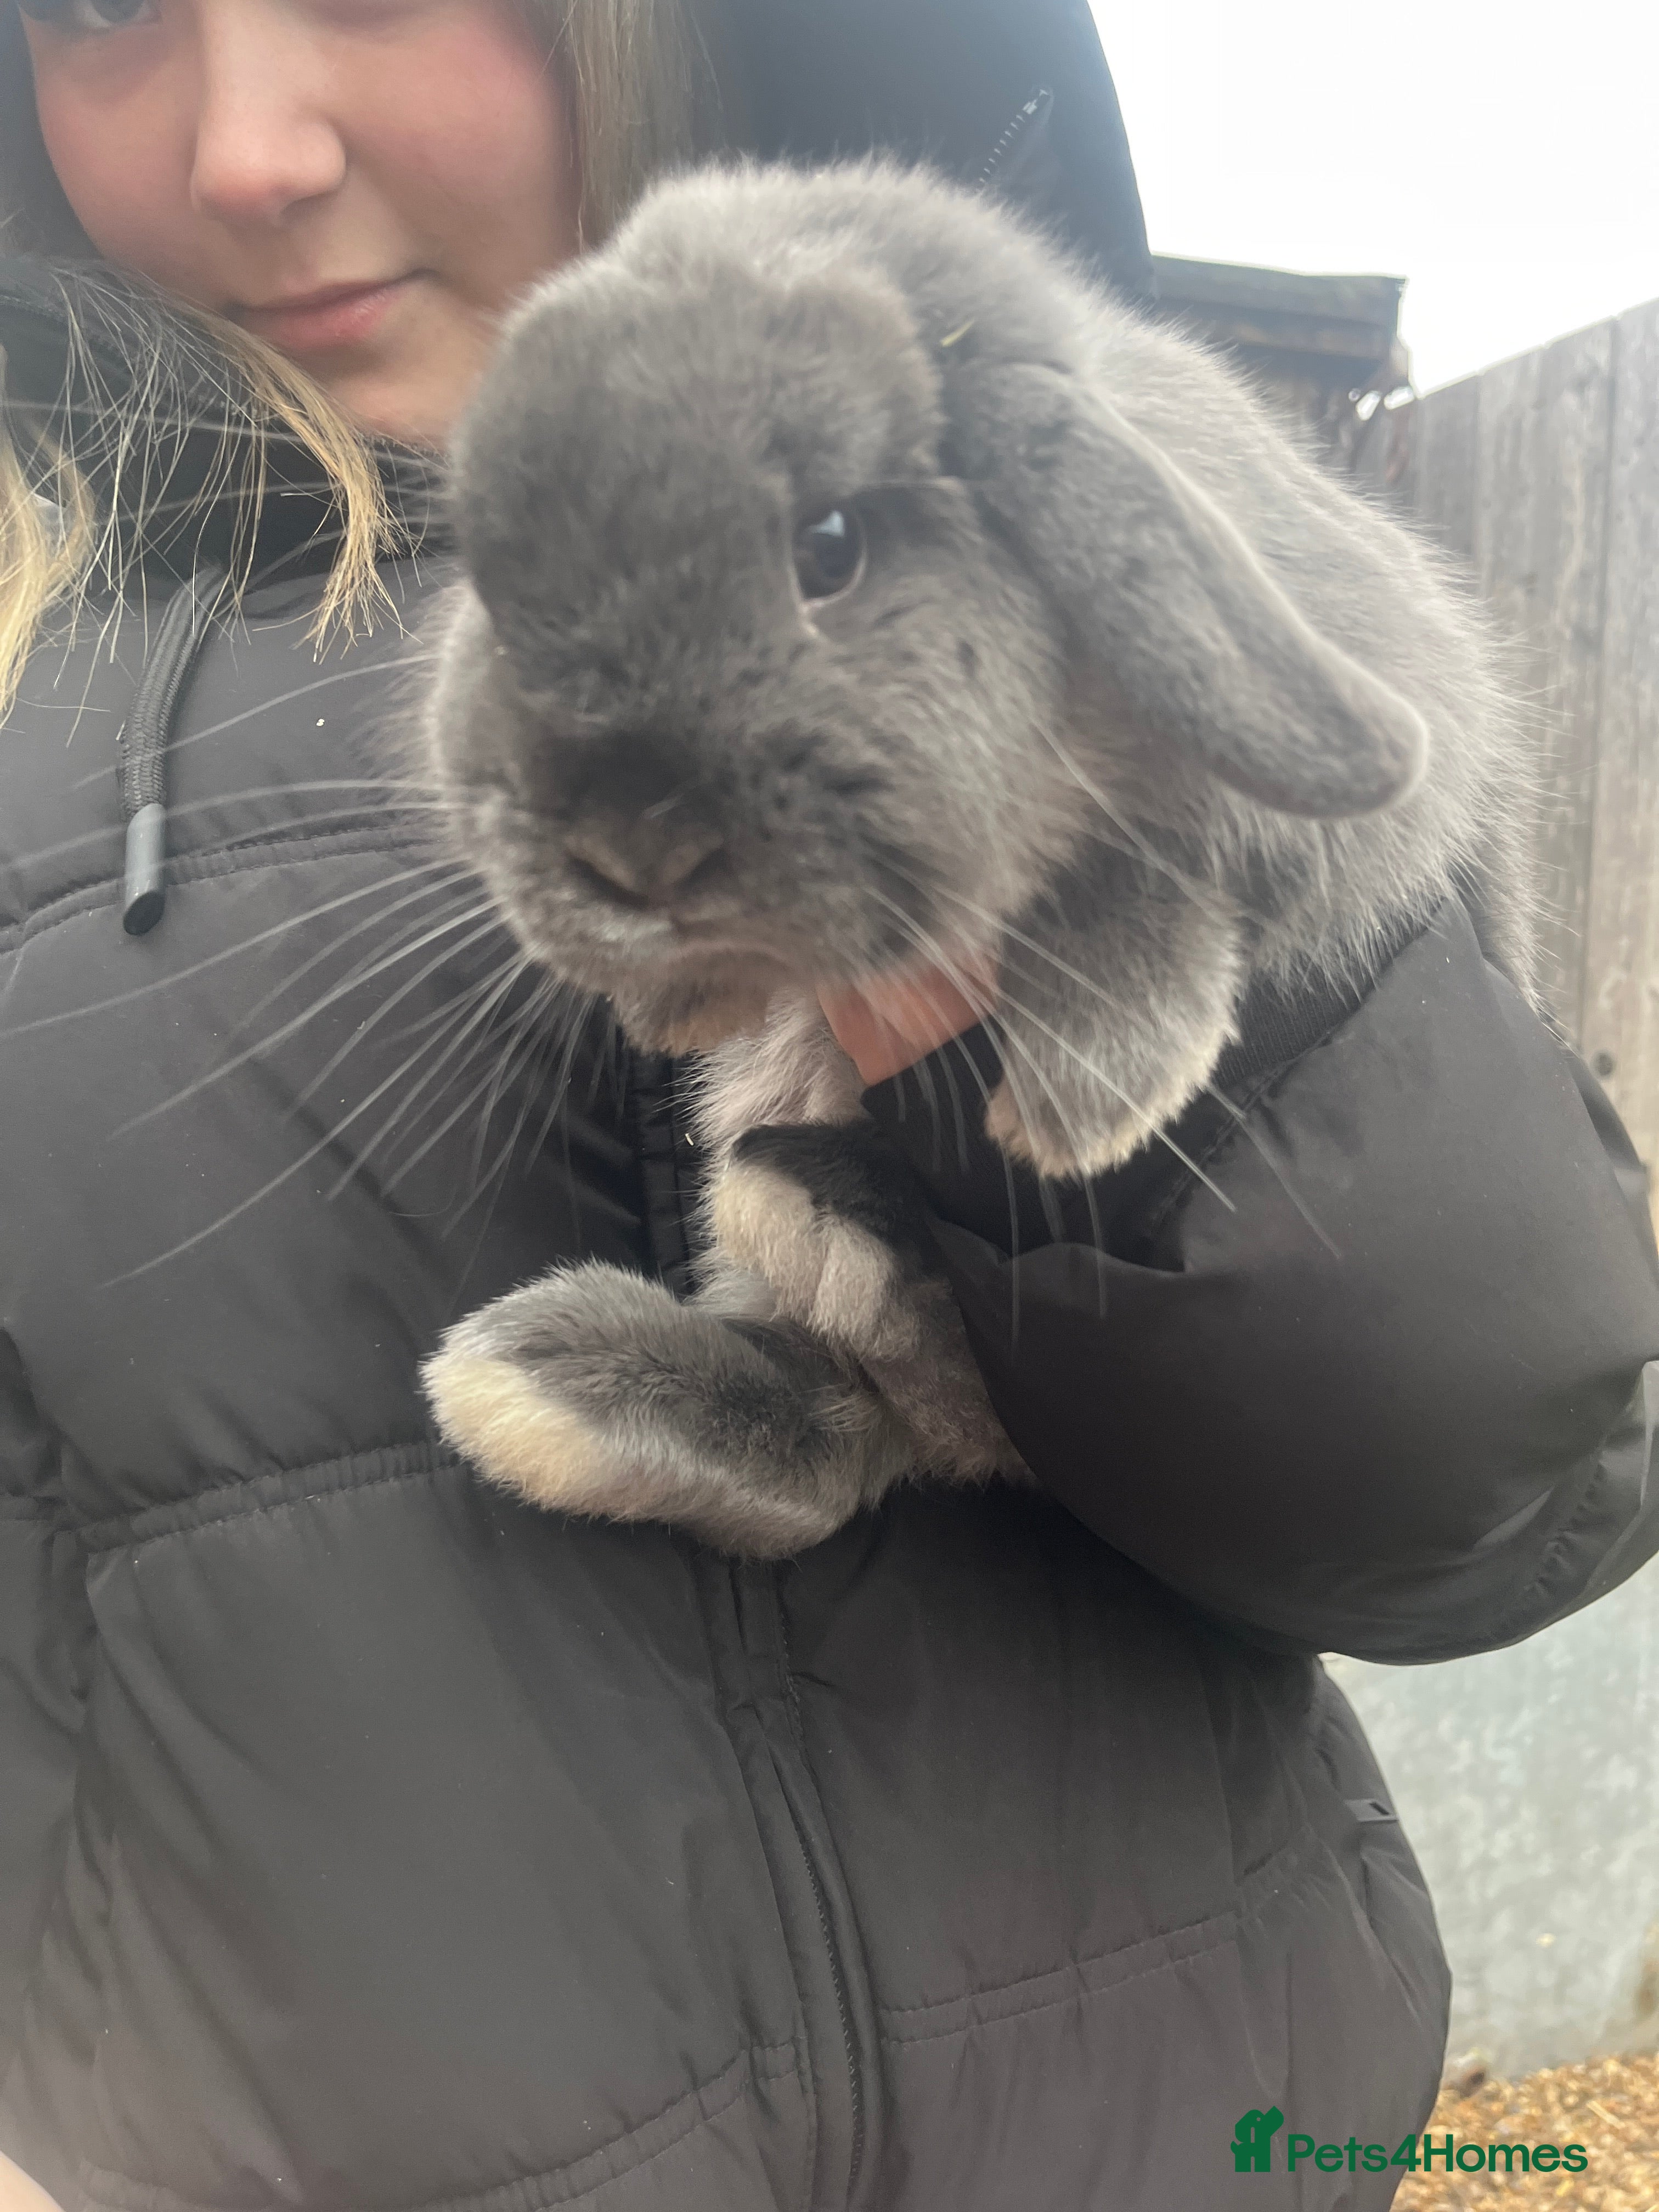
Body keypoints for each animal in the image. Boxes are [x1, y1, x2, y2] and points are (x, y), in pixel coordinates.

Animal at [418, 157, 1535, 1558]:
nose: (624, 848)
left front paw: (1090, 1094)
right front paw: (680, 1000)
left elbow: (1156, 875)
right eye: (499, 583)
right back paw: (547, 1374)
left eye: (829, 546)